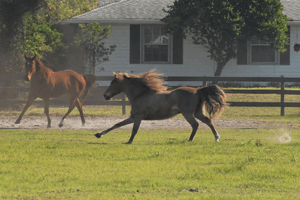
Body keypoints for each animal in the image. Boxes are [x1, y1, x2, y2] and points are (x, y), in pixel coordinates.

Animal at [96, 70, 227, 144]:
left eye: (113, 82)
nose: (105, 95)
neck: (140, 95)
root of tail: (198, 90)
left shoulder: (138, 117)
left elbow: (134, 129)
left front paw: (129, 142)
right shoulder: (133, 117)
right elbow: (117, 124)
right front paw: (98, 134)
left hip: (188, 113)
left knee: (195, 124)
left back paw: (190, 139)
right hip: (198, 112)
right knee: (208, 121)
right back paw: (216, 137)